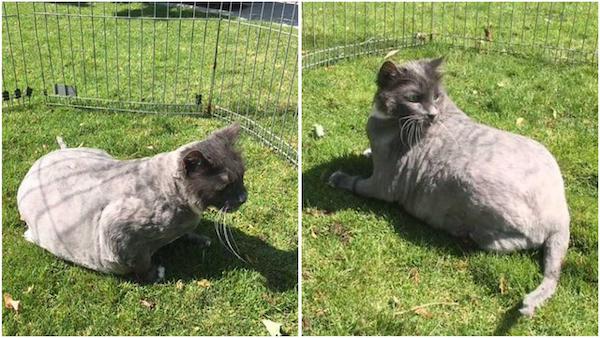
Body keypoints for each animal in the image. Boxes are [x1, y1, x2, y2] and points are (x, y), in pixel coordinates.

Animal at [18, 123, 247, 282]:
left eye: (242, 176)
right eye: (225, 185)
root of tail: (46, 157)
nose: (244, 197)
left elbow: (187, 234)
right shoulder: (118, 234)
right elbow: (141, 264)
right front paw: (156, 274)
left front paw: (199, 239)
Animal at [330, 58, 568, 316]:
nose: (432, 114)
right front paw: (365, 152)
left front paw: (338, 177)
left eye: (435, 97)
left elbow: (356, 183)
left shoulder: (383, 183)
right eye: (414, 98)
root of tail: (561, 218)